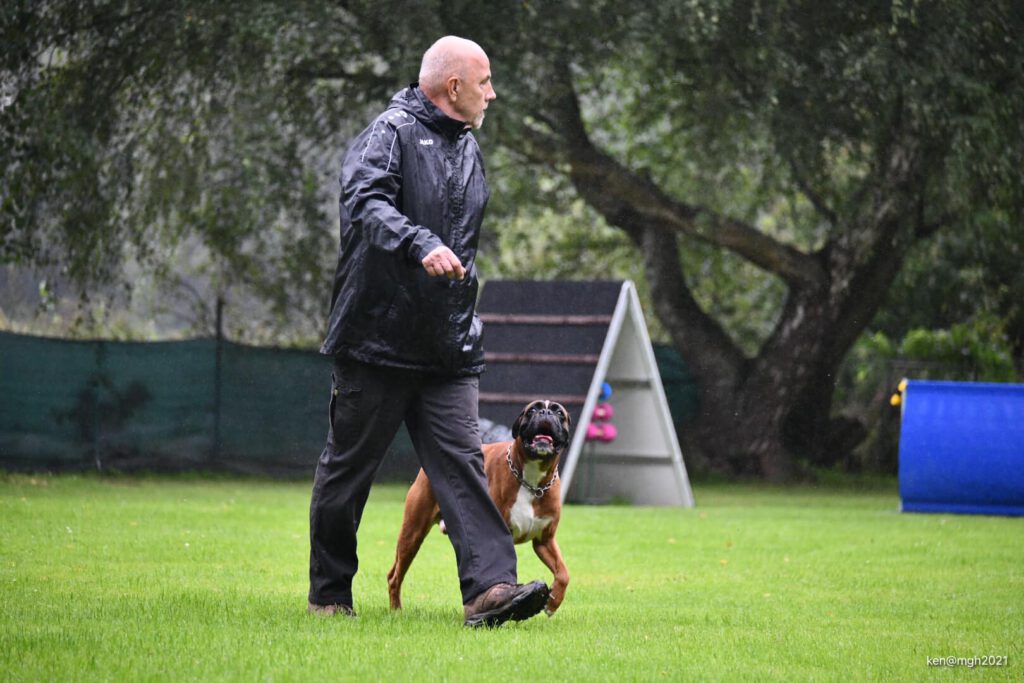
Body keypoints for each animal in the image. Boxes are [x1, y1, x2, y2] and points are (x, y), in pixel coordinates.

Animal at [387, 401, 573, 618]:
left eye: (559, 413)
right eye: (532, 410)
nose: (545, 412)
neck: (531, 481)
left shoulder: (545, 541)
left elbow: (563, 573)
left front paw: (553, 602)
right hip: (412, 534)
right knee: (394, 576)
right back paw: (396, 610)